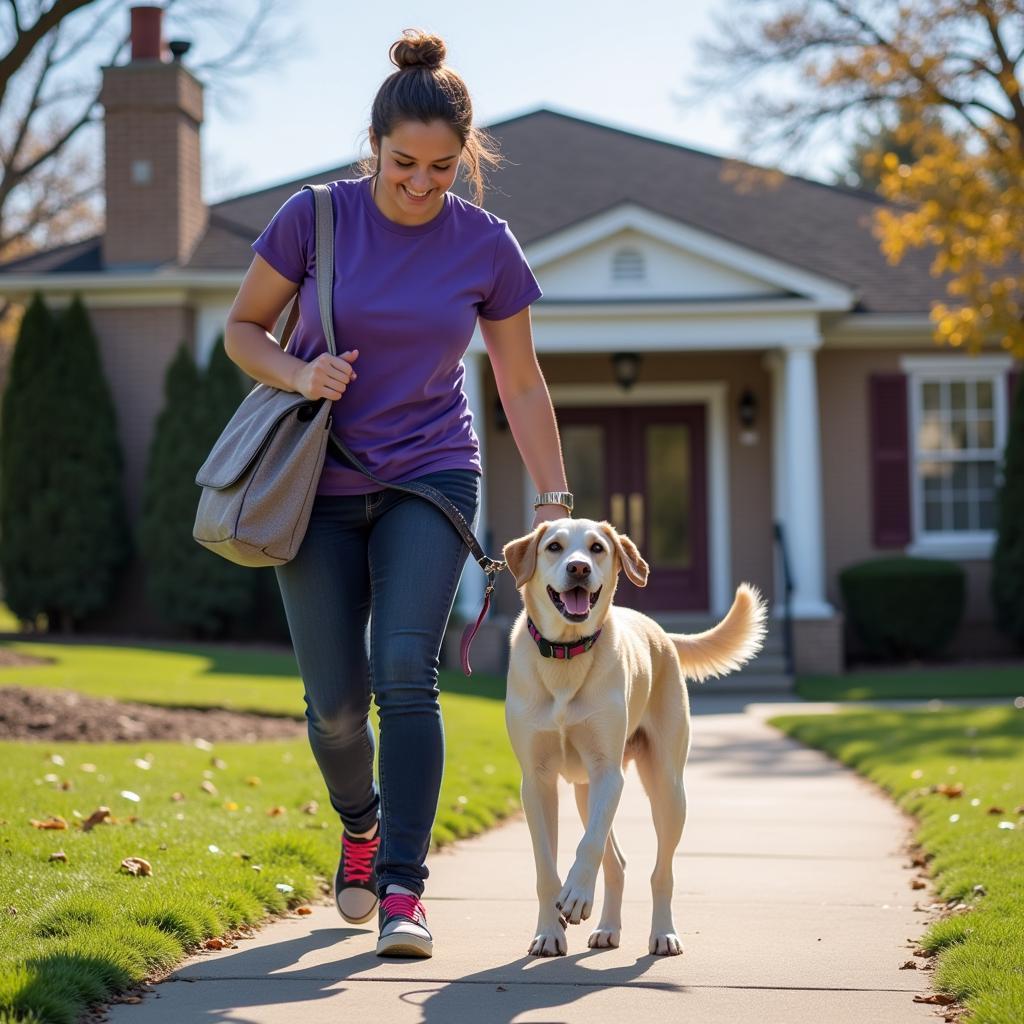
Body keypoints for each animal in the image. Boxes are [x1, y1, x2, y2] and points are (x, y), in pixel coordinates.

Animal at [499, 520, 765, 958]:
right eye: (554, 547)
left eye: (597, 548)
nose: (578, 568)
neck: (567, 654)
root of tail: (660, 631)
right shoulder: (536, 782)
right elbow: (546, 868)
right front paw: (549, 932)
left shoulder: (609, 773)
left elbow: (587, 846)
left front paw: (576, 896)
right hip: (585, 793)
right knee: (616, 862)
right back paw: (608, 927)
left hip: (667, 791)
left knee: (661, 871)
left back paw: (663, 933)